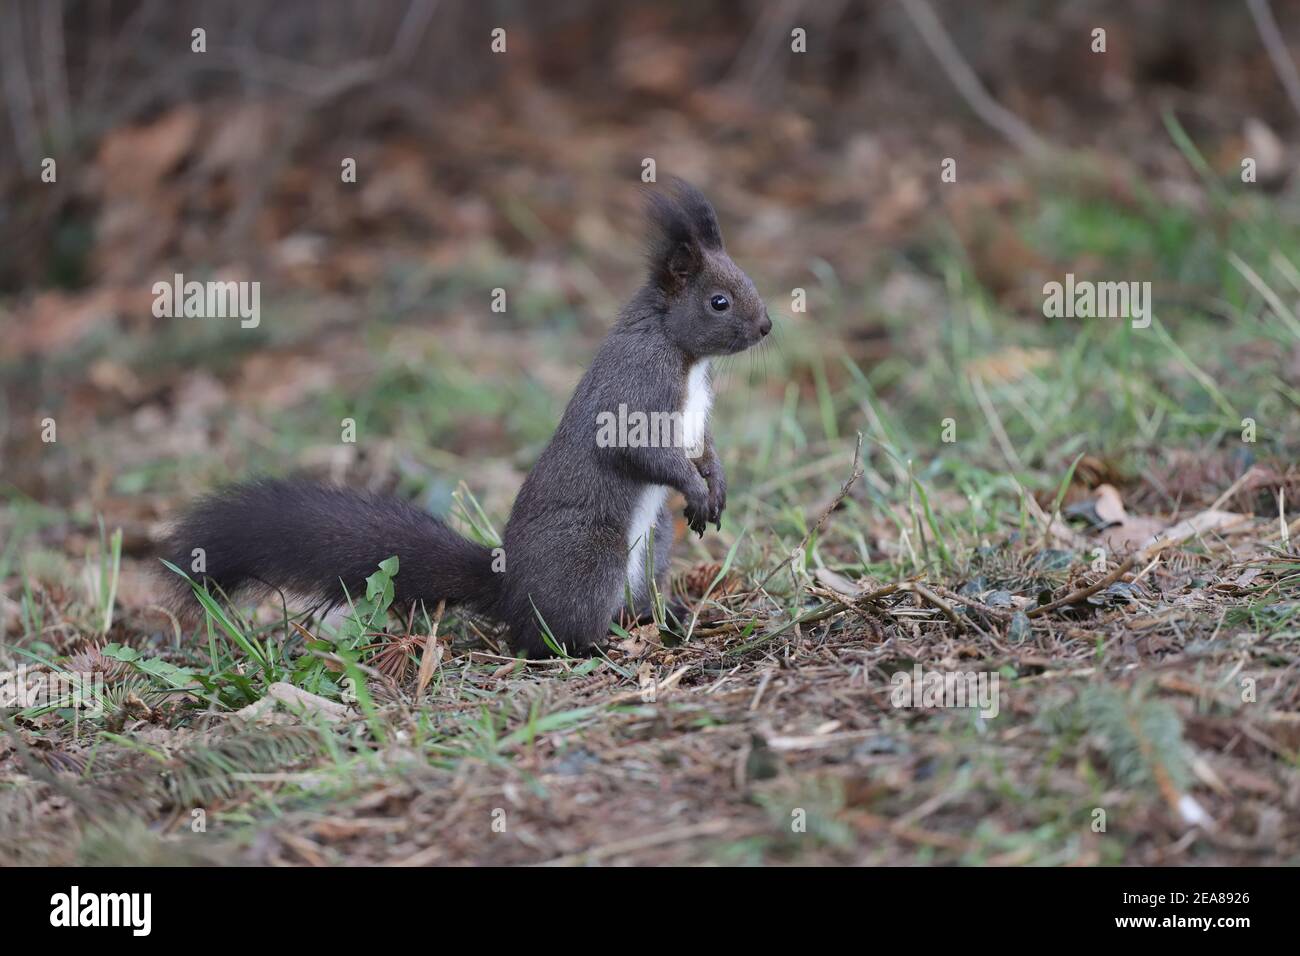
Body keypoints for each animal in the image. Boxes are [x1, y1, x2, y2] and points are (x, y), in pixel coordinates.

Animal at [162, 178, 769, 658]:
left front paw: (714, 486)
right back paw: (591, 645)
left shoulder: (695, 414)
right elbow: (640, 450)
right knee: (544, 635)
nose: (766, 327)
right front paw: (696, 487)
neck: (685, 355)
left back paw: (664, 618)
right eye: (718, 301)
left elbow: (705, 446)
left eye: (747, 279)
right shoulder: (634, 391)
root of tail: (511, 591)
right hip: (589, 557)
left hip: (654, 545)